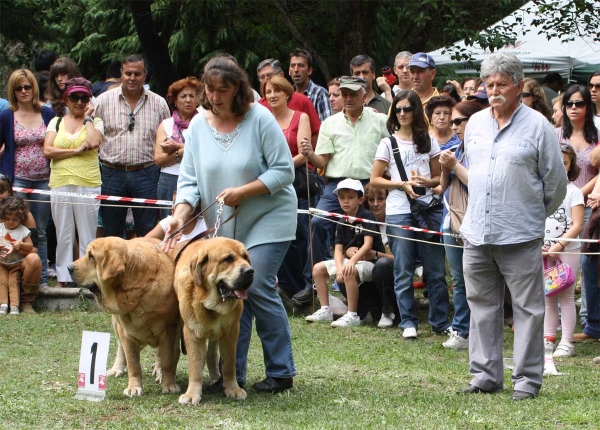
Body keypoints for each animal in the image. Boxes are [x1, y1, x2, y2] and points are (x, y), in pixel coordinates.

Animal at [68, 237, 179, 398]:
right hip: (116, 324)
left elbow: (168, 360)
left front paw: (169, 384)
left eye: (91, 256)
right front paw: (134, 387)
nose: (69, 268)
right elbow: (133, 363)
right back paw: (117, 369)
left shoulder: (170, 330)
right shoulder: (126, 333)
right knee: (121, 348)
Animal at [176, 237, 255, 404]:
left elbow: (229, 364)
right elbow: (195, 367)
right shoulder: (192, 333)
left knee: (211, 353)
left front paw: (233, 389)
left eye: (245, 257)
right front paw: (192, 394)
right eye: (228, 259)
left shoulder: (231, 332)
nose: (250, 271)